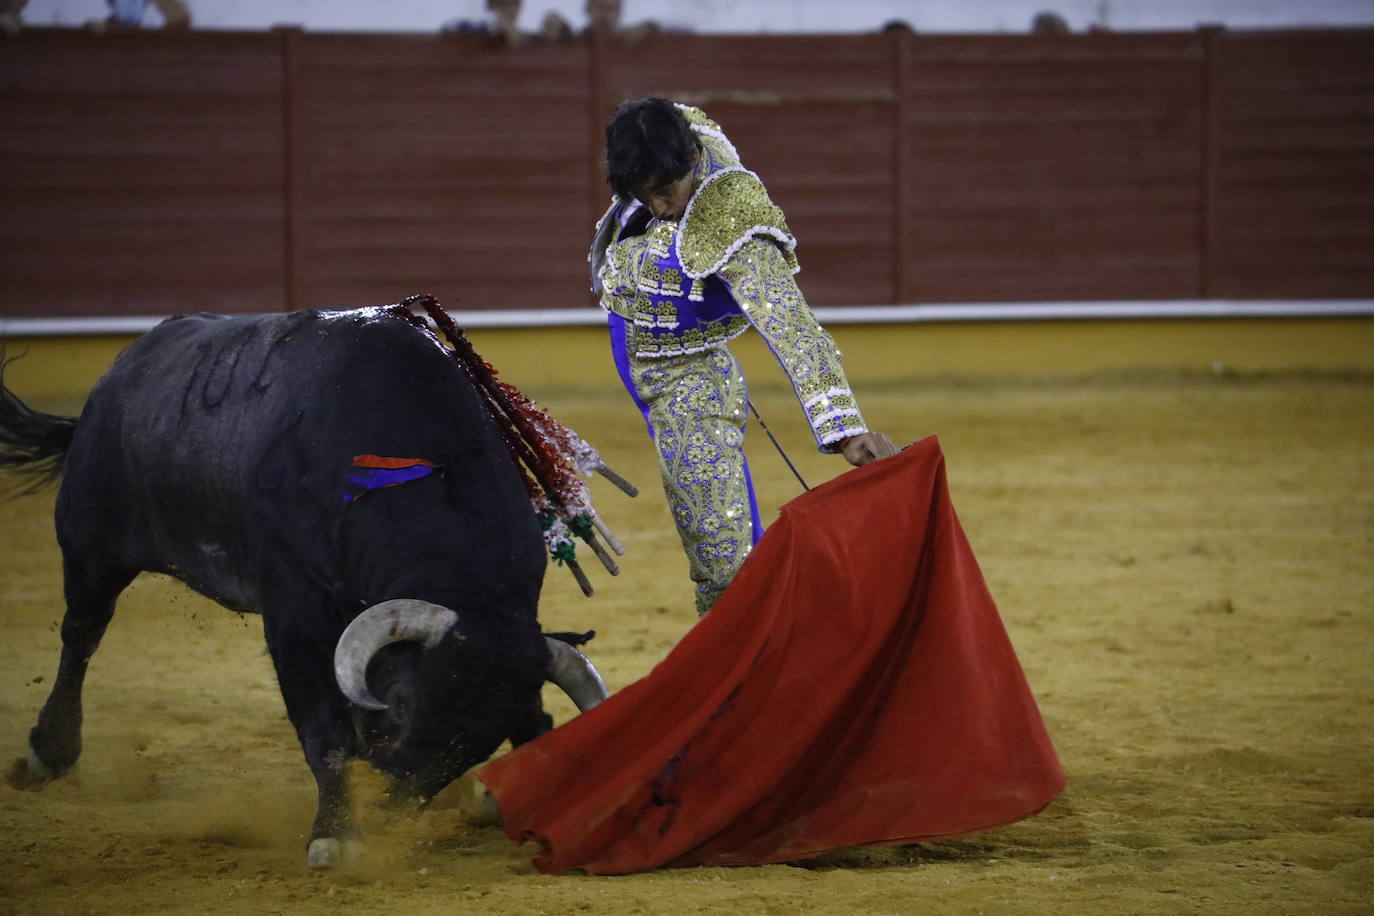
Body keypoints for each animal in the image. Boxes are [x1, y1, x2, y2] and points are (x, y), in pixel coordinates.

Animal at [0, 307, 607, 867]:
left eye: (482, 741)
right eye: (403, 704)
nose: (385, 811)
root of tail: (122, 372)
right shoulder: (295, 612)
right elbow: (326, 733)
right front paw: (333, 835)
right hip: (90, 545)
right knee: (82, 632)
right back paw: (48, 753)